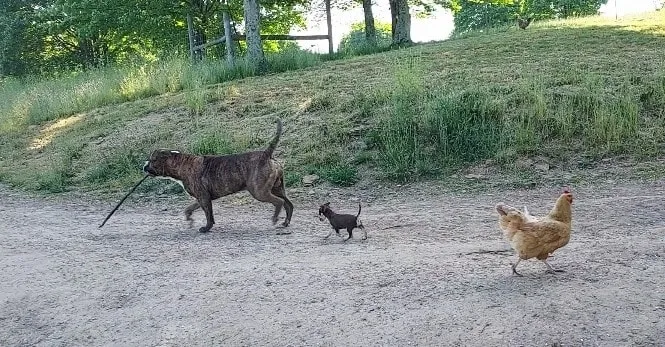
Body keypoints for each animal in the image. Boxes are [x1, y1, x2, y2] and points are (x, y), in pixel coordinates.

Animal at [143, 119, 294, 234]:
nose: (144, 165)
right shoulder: (201, 197)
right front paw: (190, 219)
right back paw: (285, 222)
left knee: (279, 202)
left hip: (260, 192)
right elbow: (191, 209)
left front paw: (206, 228)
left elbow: (208, 215)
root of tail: (266, 155)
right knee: (288, 204)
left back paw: (275, 219)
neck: (180, 163)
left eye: (152, 160)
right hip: (277, 188)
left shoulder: (204, 198)